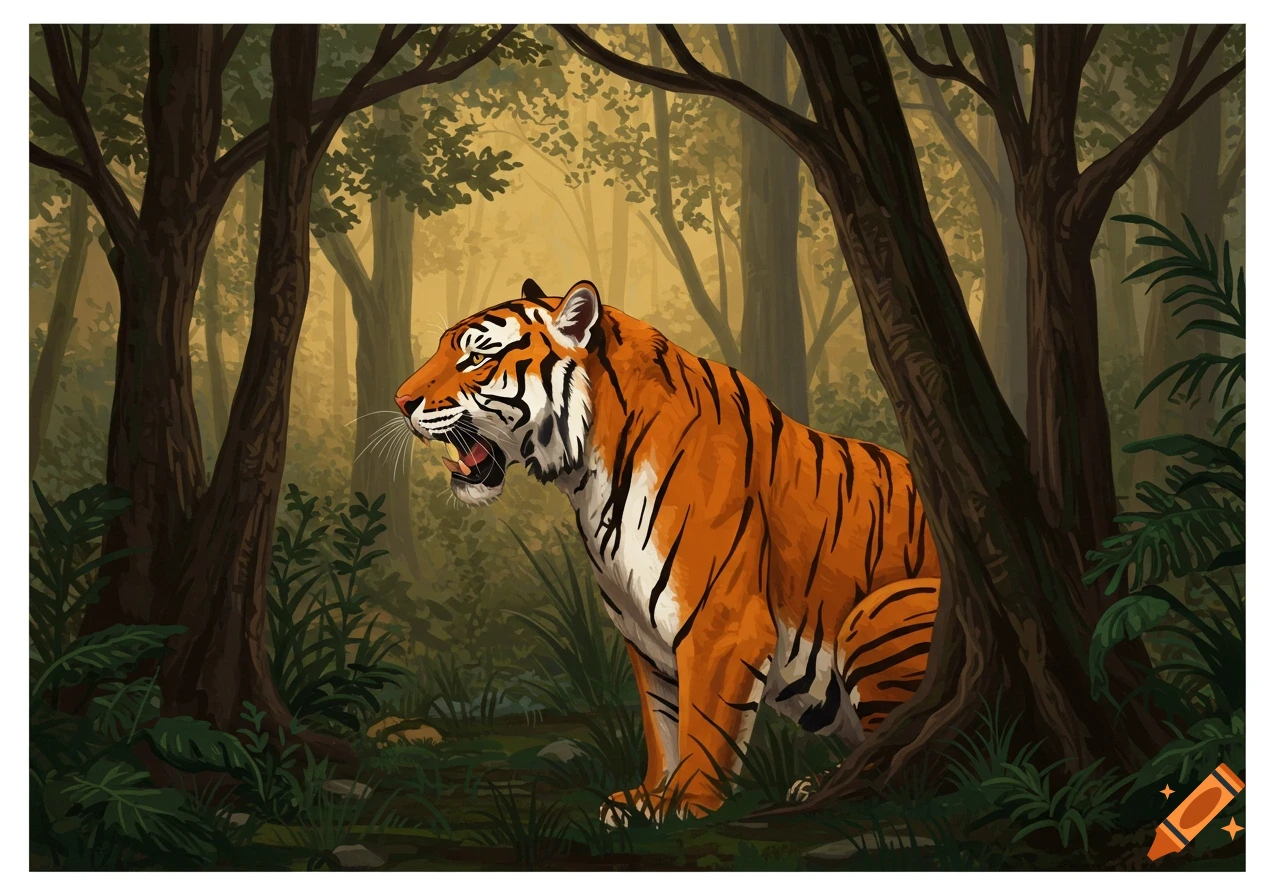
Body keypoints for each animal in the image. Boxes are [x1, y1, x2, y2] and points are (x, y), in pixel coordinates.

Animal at [395, 278, 941, 823]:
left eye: (475, 357)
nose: (400, 401)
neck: (588, 478)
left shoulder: (722, 625)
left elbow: (705, 724)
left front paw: (688, 802)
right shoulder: (645, 638)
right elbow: (663, 725)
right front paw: (645, 798)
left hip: (877, 612)